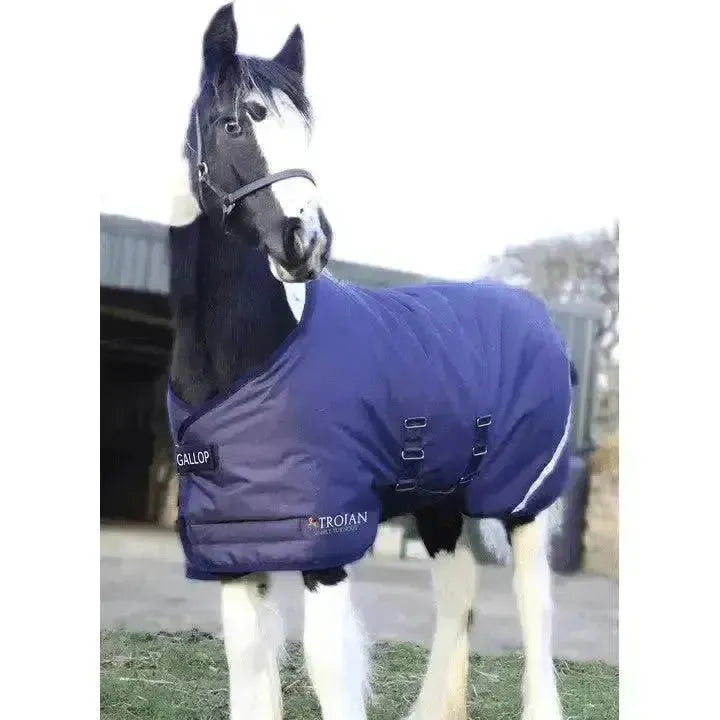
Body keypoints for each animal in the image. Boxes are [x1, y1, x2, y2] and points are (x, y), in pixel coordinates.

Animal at [167, 4, 569, 719]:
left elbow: (328, 662)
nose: (307, 240)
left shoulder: (326, 535)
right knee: (458, 595)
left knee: (534, 606)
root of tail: (535, 314)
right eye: (234, 122)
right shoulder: (236, 543)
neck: (250, 363)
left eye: (305, 129)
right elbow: (248, 661)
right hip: (440, 502)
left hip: (524, 498)